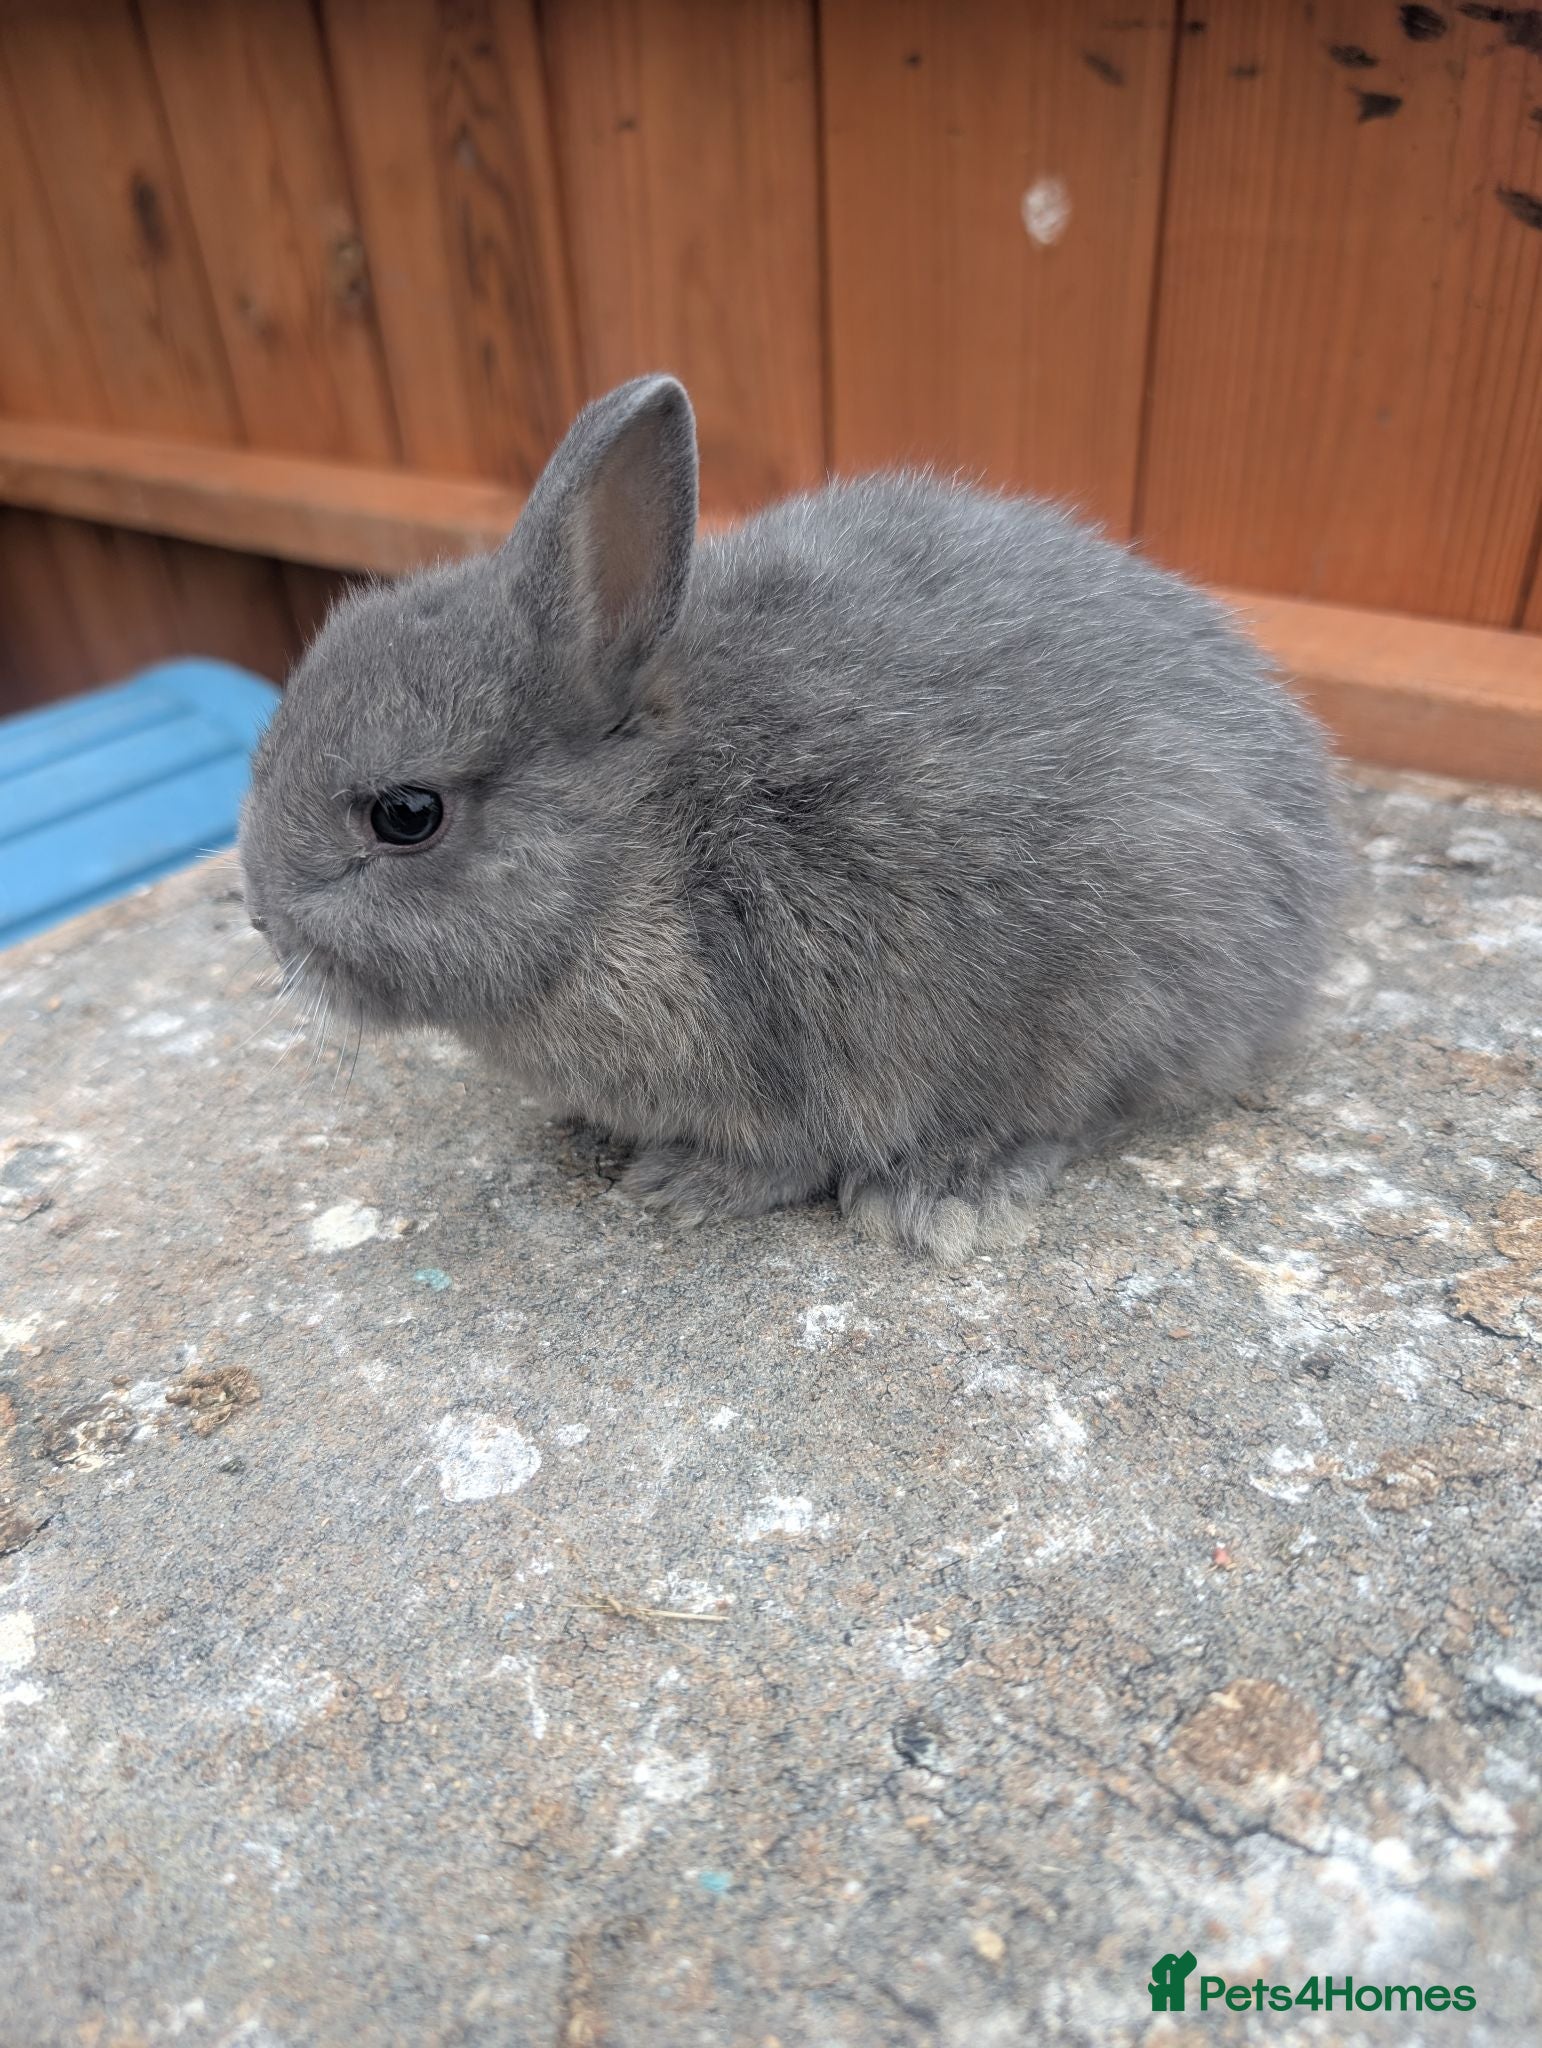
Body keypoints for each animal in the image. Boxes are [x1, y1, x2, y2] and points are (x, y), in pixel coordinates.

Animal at [239, 373, 1346, 1261]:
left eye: (406, 815)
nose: (261, 918)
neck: (640, 834)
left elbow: (785, 1155)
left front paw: (683, 1186)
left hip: (1111, 991)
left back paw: (944, 1190)